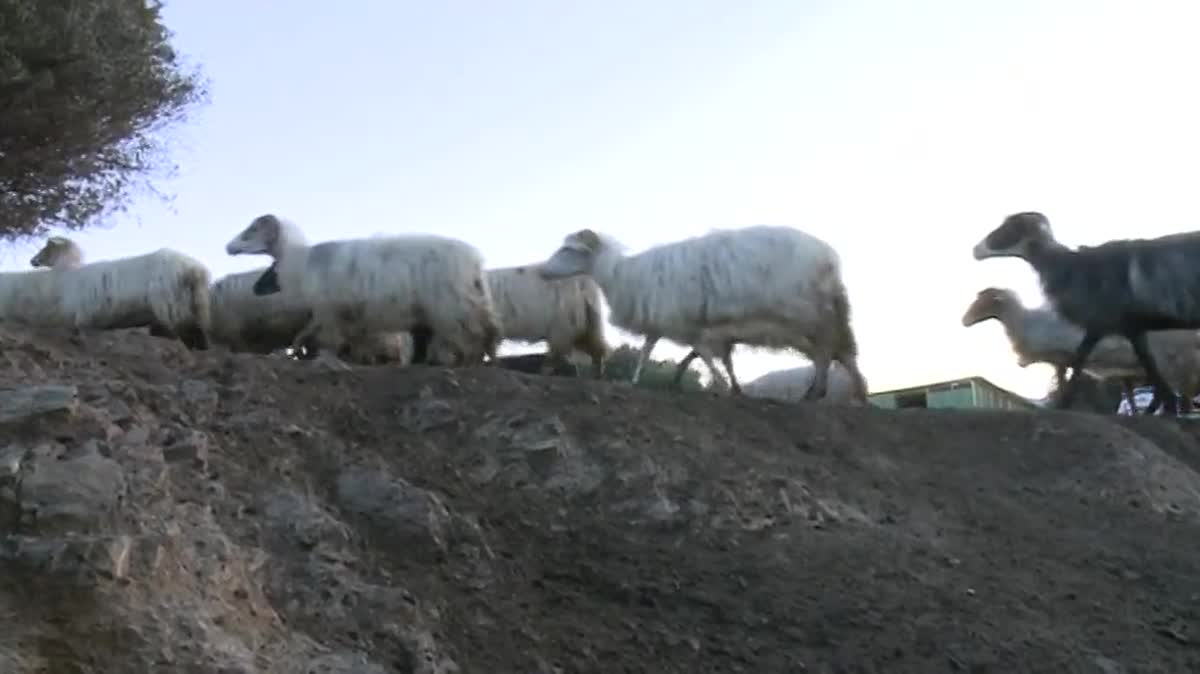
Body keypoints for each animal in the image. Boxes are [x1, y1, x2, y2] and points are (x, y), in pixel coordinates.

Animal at [27, 235, 211, 347]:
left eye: (47, 247)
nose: (33, 261)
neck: (69, 272)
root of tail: (195, 269)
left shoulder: (84, 312)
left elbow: (81, 331)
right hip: (196, 303)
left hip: (171, 305)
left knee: (182, 333)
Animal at [225, 213, 501, 366]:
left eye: (252, 230)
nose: (228, 247)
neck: (301, 260)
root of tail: (475, 260)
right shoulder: (345, 315)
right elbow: (322, 337)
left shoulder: (330, 312)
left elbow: (328, 340)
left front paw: (325, 358)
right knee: (485, 329)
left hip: (450, 307)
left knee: (469, 333)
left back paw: (454, 359)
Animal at [540, 223, 868, 400]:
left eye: (569, 250)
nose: (542, 271)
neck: (621, 274)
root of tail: (830, 256)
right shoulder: (667, 323)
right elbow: (649, 351)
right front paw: (632, 381)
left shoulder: (688, 324)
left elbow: (704, 354)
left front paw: (723, 386)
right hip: (820, 319)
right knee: (840, 353)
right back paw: (849, 394)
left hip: (811, 316)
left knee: (827, 353)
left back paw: (823, 393)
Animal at [979, 209, 1200, 412]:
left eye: (1010, 228)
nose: (976, 250)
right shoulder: (1121, 326)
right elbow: (1141, 363)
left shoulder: (1108, 322)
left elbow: (1079, 361)